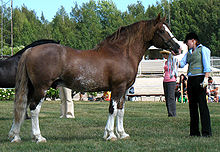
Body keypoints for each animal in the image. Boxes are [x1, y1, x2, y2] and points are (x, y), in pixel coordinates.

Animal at [8, 13, 180, 142]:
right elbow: (112, 110)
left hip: (32, 88)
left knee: (22, 108)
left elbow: (121, 110)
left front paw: (122, 133)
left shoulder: (124, 90)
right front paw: (110, 135)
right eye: (161, 30)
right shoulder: (117, 88)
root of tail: (31, 50)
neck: (121, 53)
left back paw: (16, 136)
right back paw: (38, 137)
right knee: (34, 109)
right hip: (41, 88)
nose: (178, 47)